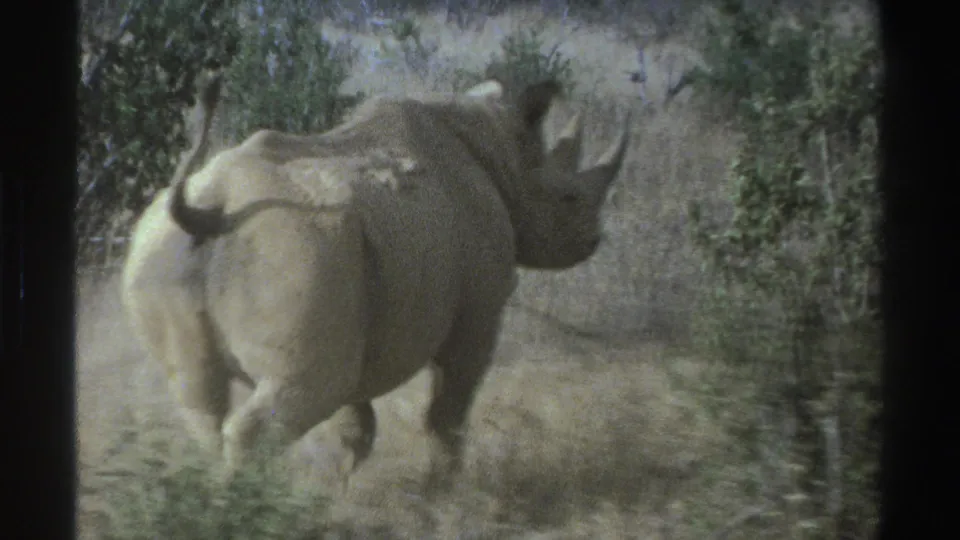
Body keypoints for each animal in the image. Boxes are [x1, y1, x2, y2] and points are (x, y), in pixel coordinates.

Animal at [120, 74, 630, 493]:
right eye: (568, 198)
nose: (592, 241)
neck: (503, 156)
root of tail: (213, 205)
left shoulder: (360, 309)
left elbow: (356, 422)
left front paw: (340, 491)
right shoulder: (478, 313)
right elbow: (448, 408)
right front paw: (441, 494)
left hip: (173, 250)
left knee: (200, 401)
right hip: (292, 244)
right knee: (294, 399)